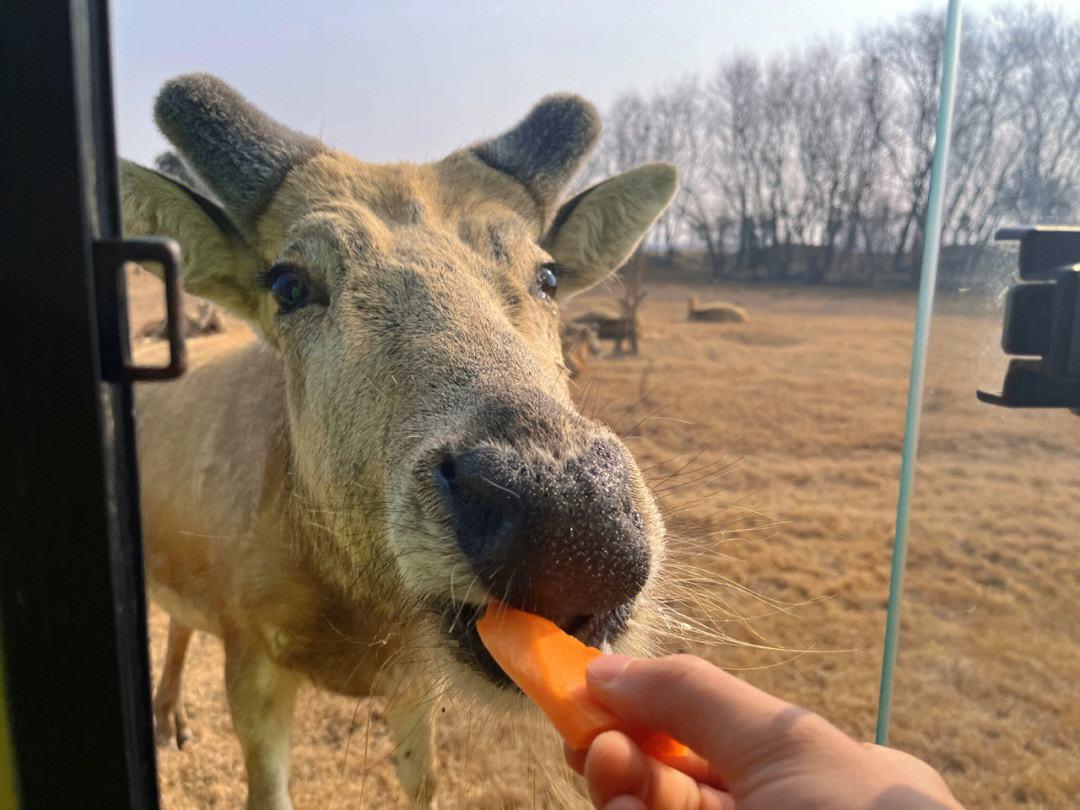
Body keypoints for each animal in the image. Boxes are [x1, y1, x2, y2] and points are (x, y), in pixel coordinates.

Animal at [120, 72, 673, 807]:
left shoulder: (413, 681)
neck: (359, 615)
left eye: (548, 275)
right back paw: (167, 717)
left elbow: (425, 781)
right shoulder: (251, 656)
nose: (576, 529)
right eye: (288, 283)